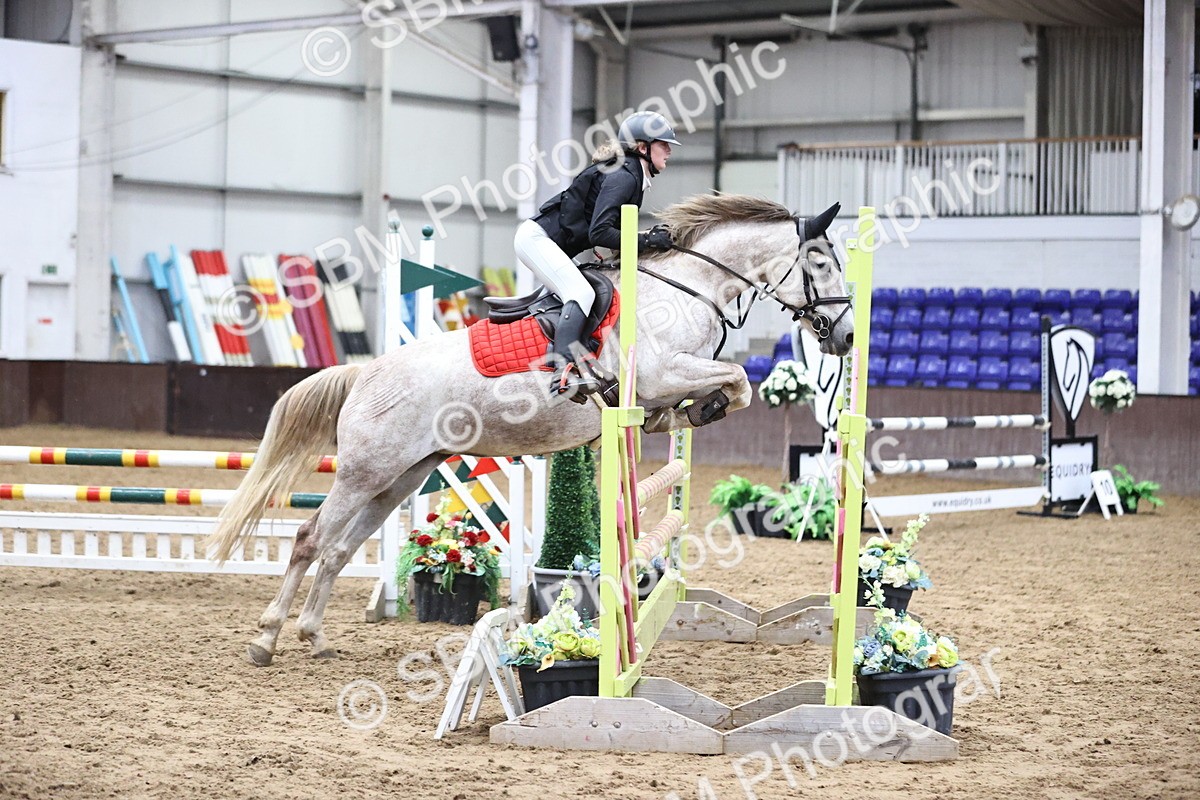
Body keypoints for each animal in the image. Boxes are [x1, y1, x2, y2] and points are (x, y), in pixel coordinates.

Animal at [209, 193, 854, 666]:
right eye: (821, 263)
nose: (847, 337)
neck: (687, 286)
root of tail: (367, 372)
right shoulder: (663, 370)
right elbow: (740, 378)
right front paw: (702, 407)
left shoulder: (670, 378)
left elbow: (729, 388)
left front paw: (691, 413)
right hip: (365, 472)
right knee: (310, 540)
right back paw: (266, 639)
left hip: (400, 477)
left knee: (339, 548)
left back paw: (315, 637)